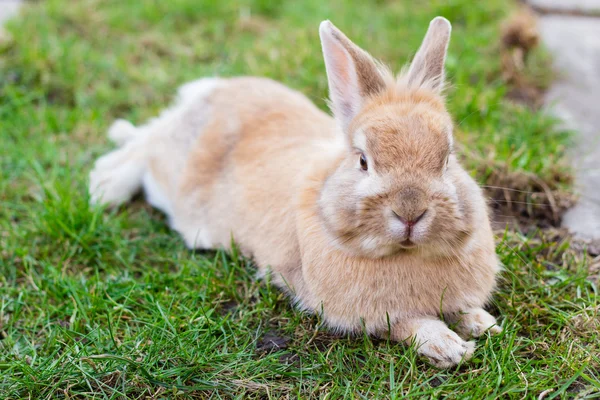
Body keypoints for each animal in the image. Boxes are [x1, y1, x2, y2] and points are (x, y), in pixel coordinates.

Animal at [89, 18, 502, 368]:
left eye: (447, 158)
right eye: (363, 161)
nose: (410, 211)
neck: (404, 254)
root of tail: (213, 91)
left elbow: (462, 310)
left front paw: (485, 323)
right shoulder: (357, 313)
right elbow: (408, 324)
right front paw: (448, 347)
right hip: (172, 174)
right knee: (146, 143)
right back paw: (105, 186)